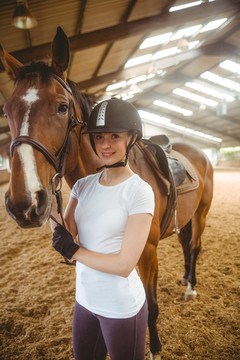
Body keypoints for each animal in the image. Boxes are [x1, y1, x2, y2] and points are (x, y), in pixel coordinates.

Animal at [0, 26, 213, 358]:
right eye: (6, 111)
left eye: (62, 106)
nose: (24, 203)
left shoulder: (146, 251)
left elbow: (150, 307)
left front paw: (155, 349)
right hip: (187, 217)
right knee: (185, 244)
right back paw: (184, 278)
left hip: (201, 213)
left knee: (194, 247)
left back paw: (191, 287)